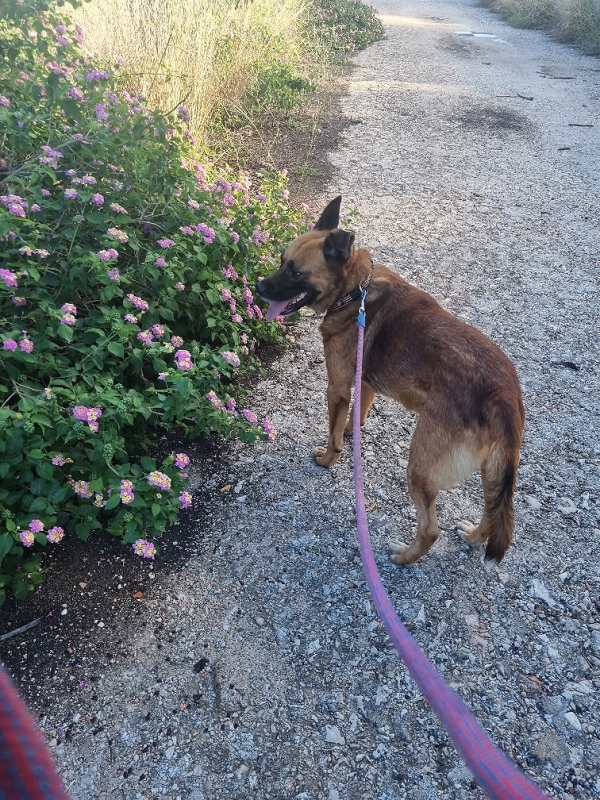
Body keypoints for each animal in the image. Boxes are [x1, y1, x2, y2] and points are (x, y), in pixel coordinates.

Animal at [256, 196, 525, 565]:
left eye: (295, 271)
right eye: (282, 260)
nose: (258, 287)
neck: (355, 291)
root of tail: (503, 392)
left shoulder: (337, 388)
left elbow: (333, 433)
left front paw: (329, 457)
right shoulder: (365, 384)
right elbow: (356, 417)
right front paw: (352, 432)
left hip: (420, 467)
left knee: (430, 530)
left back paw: (404, 558)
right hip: (492, 471)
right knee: (492, 513)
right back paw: (472, 536)